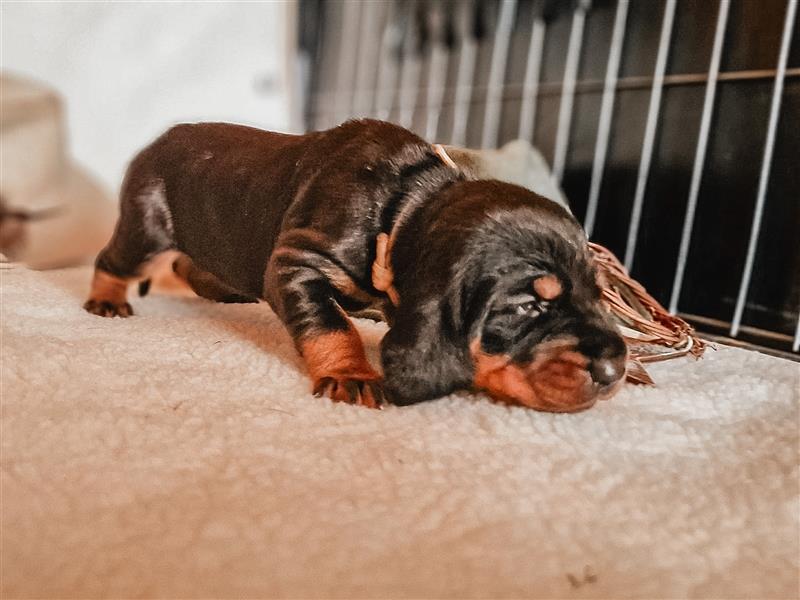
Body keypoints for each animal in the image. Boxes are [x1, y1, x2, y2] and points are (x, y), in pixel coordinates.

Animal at [86, 120, 624, 412]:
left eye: (597, 294)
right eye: (529, 306)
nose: (615, 369)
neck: (403, 206)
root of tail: (157, 140)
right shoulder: (296, 264)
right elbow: (331, 326)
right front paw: (351, 375)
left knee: (194, 270)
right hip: (147, 228)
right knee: (114, 260)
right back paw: (106, 301)